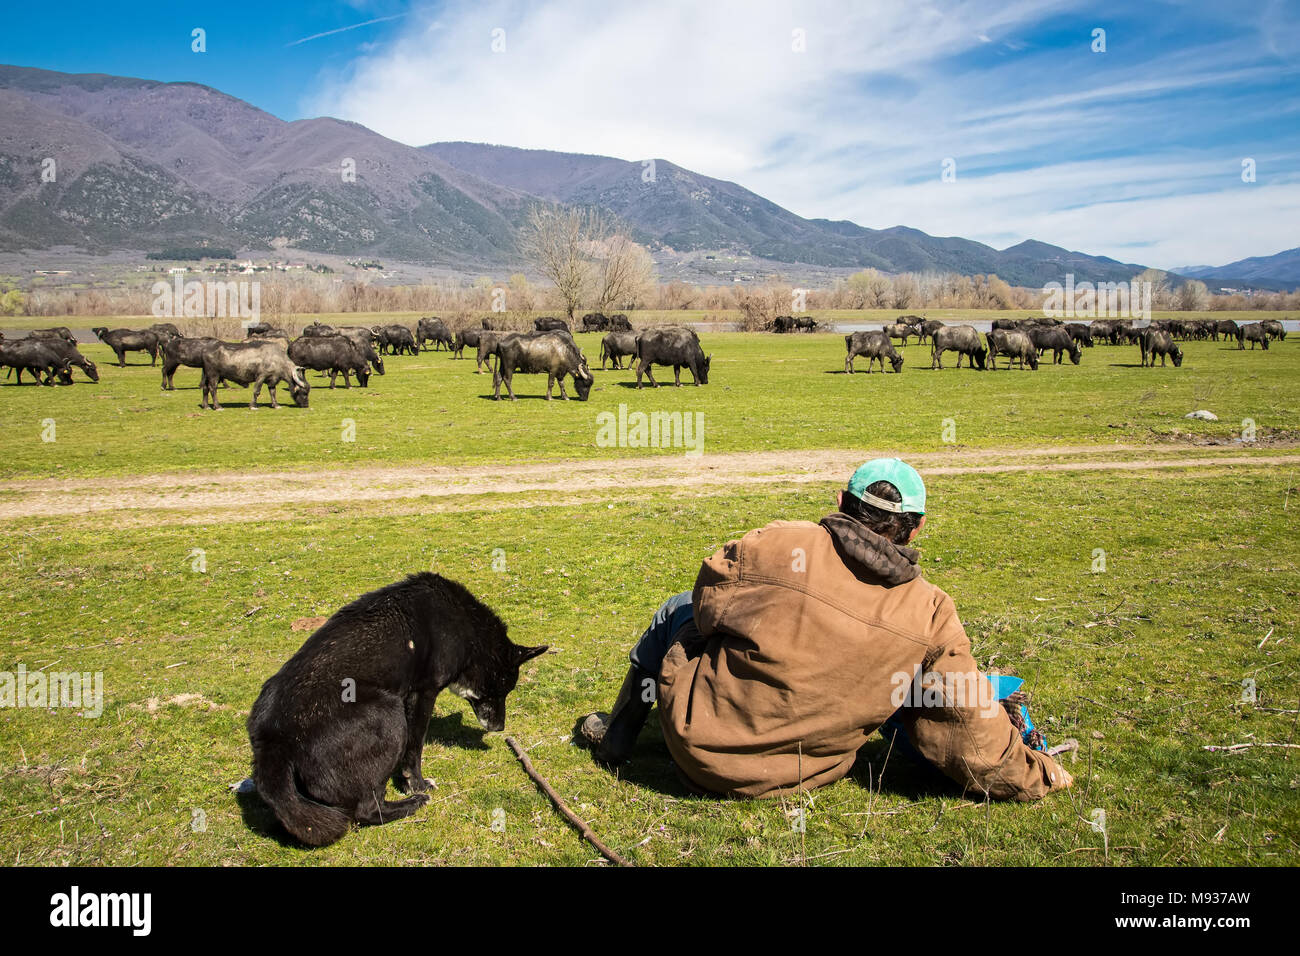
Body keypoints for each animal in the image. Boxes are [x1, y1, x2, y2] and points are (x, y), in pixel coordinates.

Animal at [246, 572, 543, 848]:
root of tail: (273, 740)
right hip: (389, 714)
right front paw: (416, 784)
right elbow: (415, 747)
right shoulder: (422, 693)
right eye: (503, 689)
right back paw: (412, 803)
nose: (500, 728)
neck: (464, 624)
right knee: (367, 810)